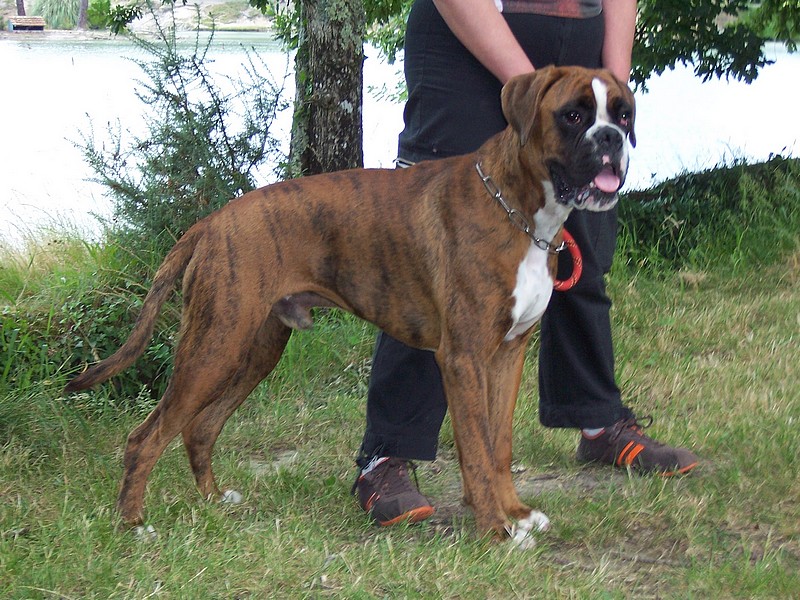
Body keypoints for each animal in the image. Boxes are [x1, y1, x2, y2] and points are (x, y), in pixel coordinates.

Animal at [65, 66, 635, 547]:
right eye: (573, 115)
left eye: (624, 113)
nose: (611, 138)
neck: (520, 209)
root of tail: (212, 222)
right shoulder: (465, 359)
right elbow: (475, 449)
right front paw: (495, 530)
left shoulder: (509, 353)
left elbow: (499, 446)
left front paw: (515, 513)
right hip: (214, 345)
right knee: (146, 436)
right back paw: (134, 524)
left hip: (252, 350)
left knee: (199, 428)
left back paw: (214, 501)